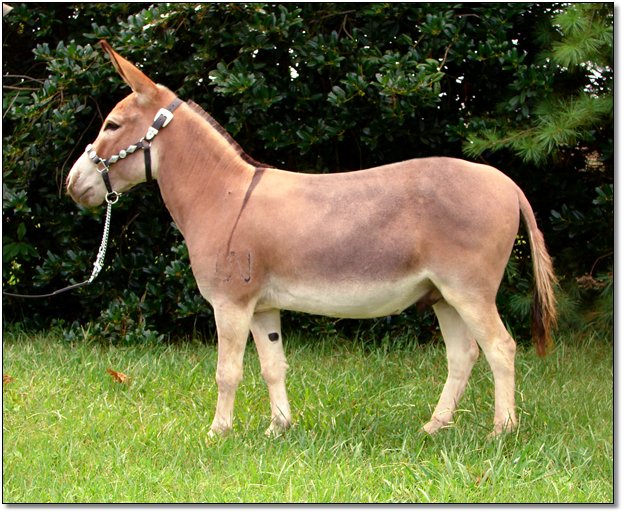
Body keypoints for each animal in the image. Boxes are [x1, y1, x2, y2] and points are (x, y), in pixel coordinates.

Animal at [67, 42, 556, 438]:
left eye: (111, 125)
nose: (71, 184)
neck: (223, 194)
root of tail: (508, 183)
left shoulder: (230, 303)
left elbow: (228, 371)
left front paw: (217, 433)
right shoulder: (262, 306)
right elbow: (272, 366)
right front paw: (277, 428)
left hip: (468, 290)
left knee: (500, 348)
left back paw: (502, 432)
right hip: (442, 295)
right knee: (463, 355)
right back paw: (434, 427)